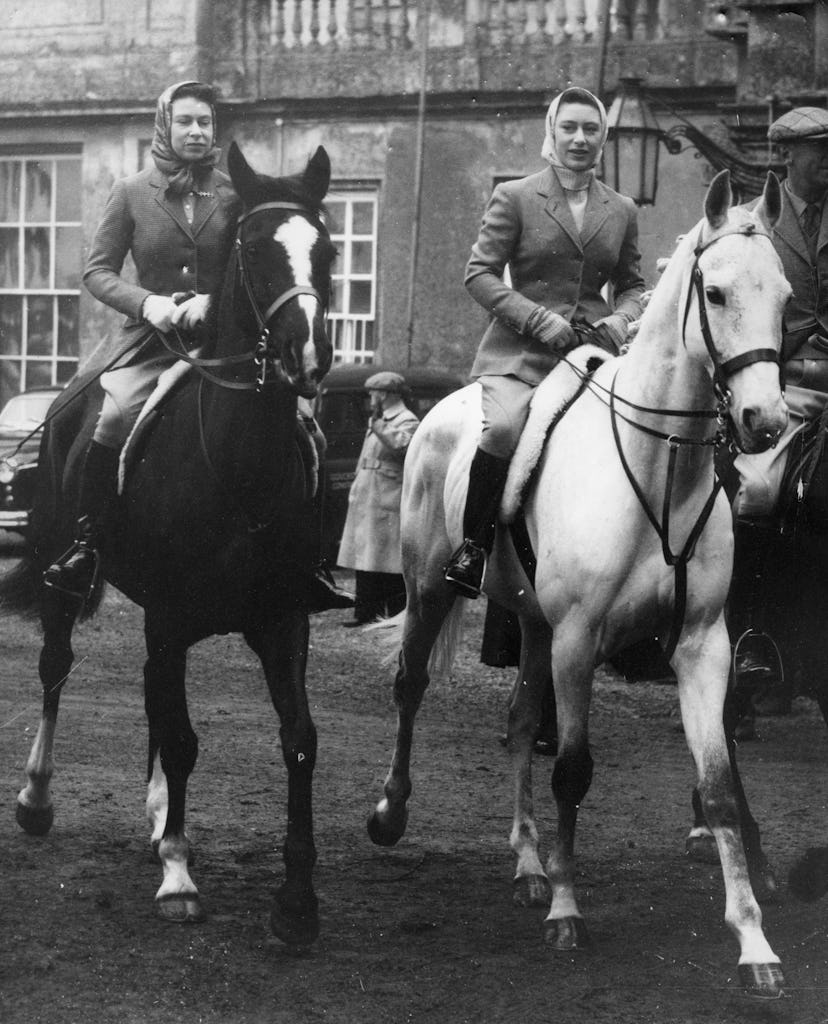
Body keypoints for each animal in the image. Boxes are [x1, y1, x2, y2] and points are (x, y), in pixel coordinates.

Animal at [1, 140, 335, 946]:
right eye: (254, 248)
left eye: (328, 249)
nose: (309, 356)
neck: (240, 470)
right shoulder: (171, 616)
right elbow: (182, 737)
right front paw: (179, 877)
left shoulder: (283, 621)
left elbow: (298, 739)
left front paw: (296, 899)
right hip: (70, 578)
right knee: (57, 669)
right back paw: (37, 798)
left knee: (154, 700)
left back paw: (157, 816)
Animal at [370, 172, 790, 995]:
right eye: (716, 292)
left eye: (786, 295)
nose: (765, 421)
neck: (661, 470)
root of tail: (440, 406)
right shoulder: (577, 639)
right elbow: (571, 770)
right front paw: (568, 912)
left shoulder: (700, 645)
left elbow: (719, 786)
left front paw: (754, 940)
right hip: (434, 591)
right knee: (410, 688)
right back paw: (394, 814)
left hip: (533, 626)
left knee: (517, 722)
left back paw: (530, 863)